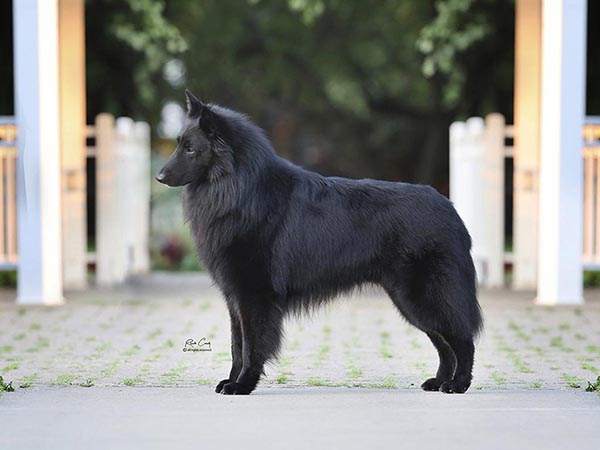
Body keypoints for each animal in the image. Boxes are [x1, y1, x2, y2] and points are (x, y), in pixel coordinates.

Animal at [156, 90, 482, 394]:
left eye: (190, 149)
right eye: (178, 143)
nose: (159, 177)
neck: (240, 189)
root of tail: (450, 208)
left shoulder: (254, 295)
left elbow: (251, 347)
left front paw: (244, 384)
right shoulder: (235, 298)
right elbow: (237, 346)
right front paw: (232, 381)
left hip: (424, 296)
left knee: (462, 339)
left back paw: (457, 384)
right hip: (409, 301)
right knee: (443, 344)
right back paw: (439, 381)